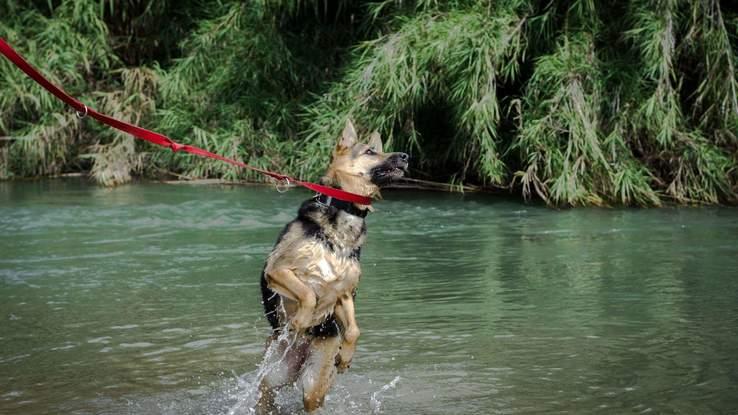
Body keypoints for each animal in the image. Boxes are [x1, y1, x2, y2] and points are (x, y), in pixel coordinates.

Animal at [256, 119, 408, 412]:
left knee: (311, 397)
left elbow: (354, 329)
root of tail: (298, 361)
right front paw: (301, 321)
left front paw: (346, 355)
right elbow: (308, 293)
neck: (346, 213)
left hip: (313, 381)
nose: (406, 156)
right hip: (272, 376)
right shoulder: (278, 270)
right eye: (370, 152)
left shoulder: (344, 292)